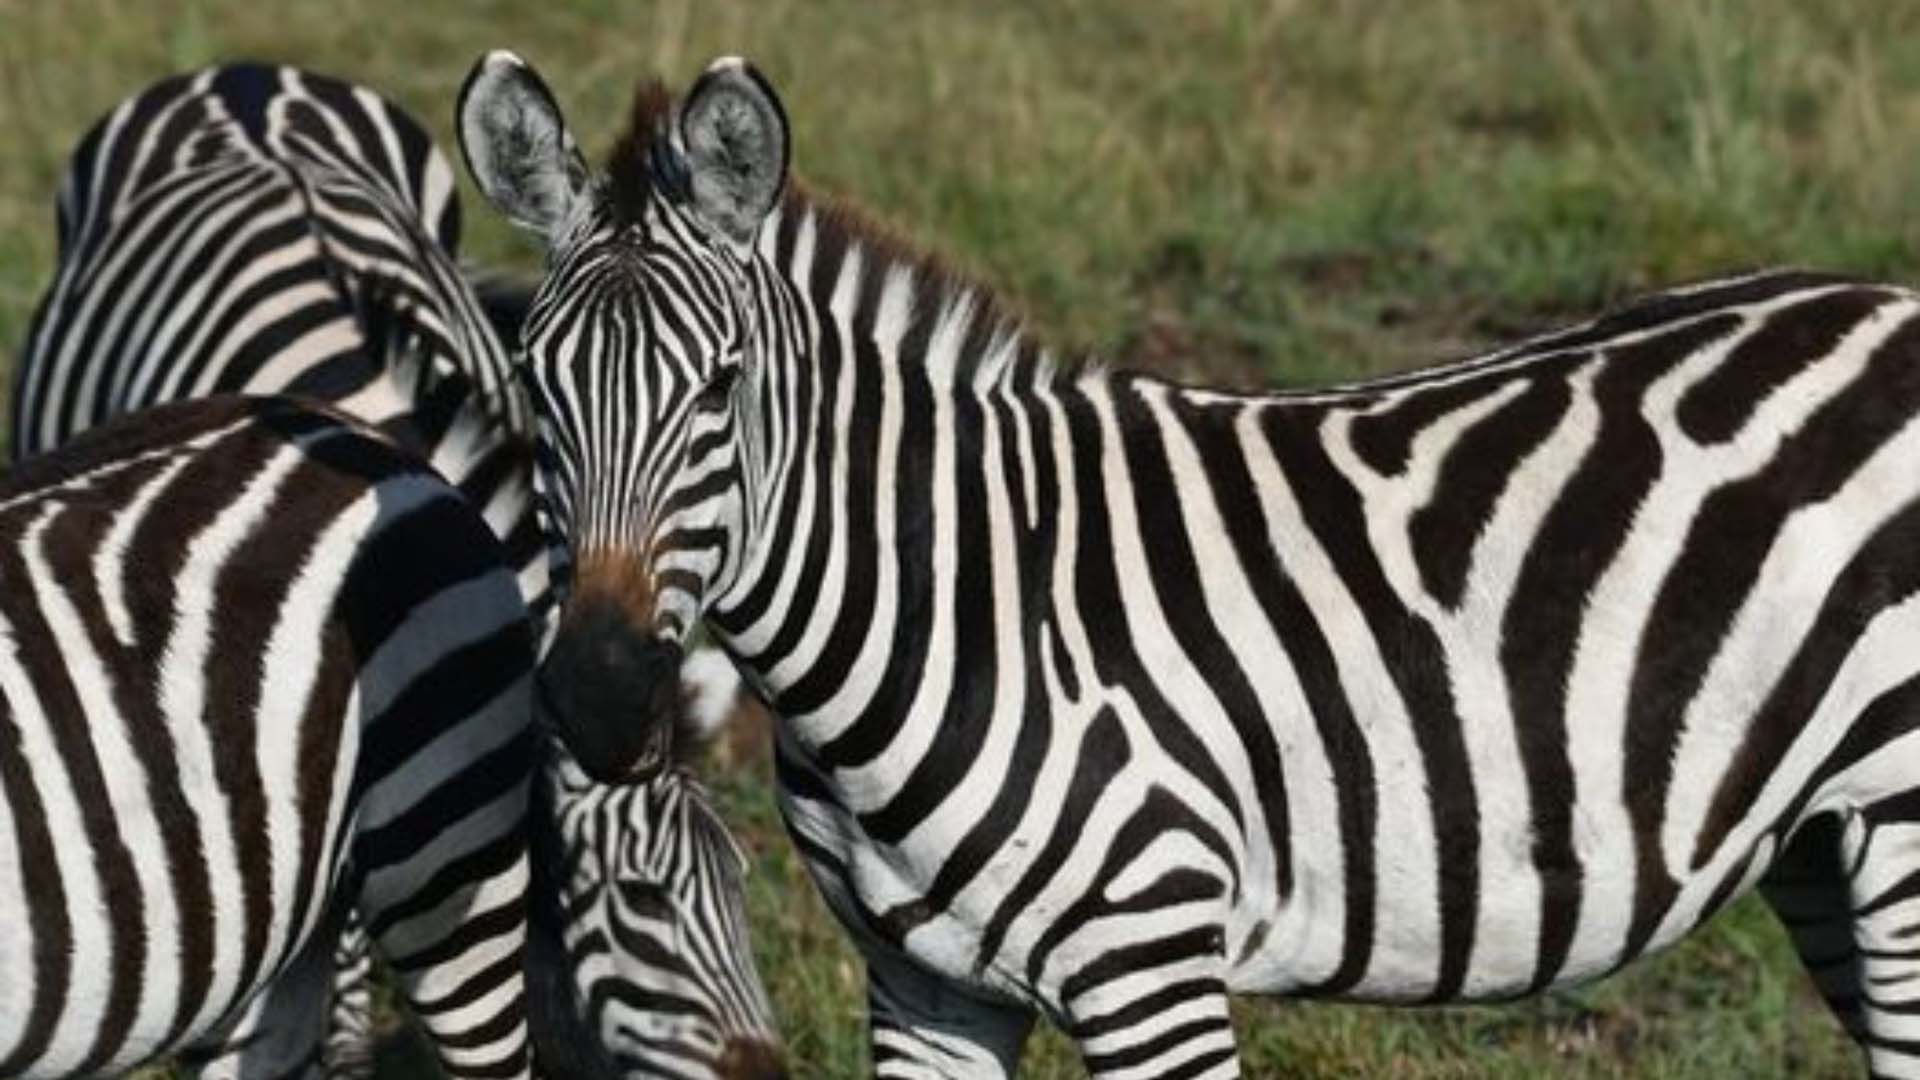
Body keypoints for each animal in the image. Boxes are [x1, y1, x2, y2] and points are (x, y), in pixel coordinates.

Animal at [460, 47, 1920, 1079]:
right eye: (534, 385)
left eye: (722, 389)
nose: (597, 696)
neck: (954, 609)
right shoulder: (927, 988)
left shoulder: (1151, 965)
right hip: (1819, 840)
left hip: (1901, 825)